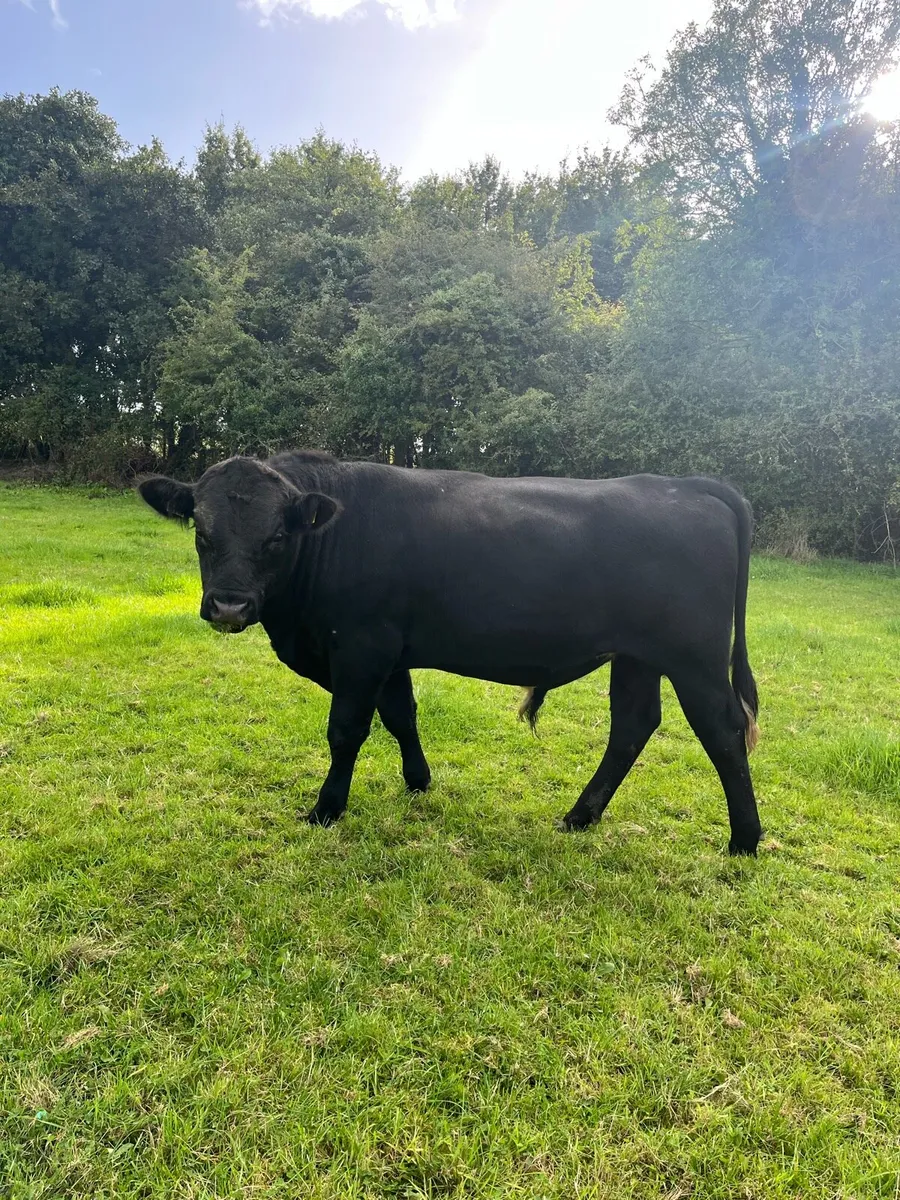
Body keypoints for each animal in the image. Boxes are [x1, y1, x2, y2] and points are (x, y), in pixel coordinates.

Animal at [138, 451, 763, 855]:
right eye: (200, 529)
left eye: (276, 536)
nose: (229, 605)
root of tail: (687, 484)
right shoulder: (390, 651)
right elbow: (401, 716)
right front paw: (419, 782)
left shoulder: (361, 646)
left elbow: (347, 730)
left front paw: (326, 809)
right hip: (637, 657)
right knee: (633, 725)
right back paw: (578, 818)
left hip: (695, 659)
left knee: (723, 731)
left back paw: (745, 840)